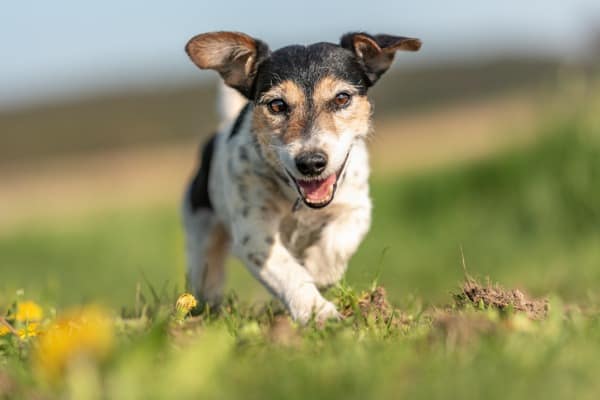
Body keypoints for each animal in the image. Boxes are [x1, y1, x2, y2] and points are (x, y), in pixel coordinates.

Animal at [183, 32, 422, 324]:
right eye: (277, 105)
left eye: (342, 98)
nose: (311, 163)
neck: (299, 202)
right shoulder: (254, 233)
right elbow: (288, 272)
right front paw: (316, 311)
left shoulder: (356, 208)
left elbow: (337, 243)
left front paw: (318, 271)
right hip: (201, 230)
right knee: (207, 271)